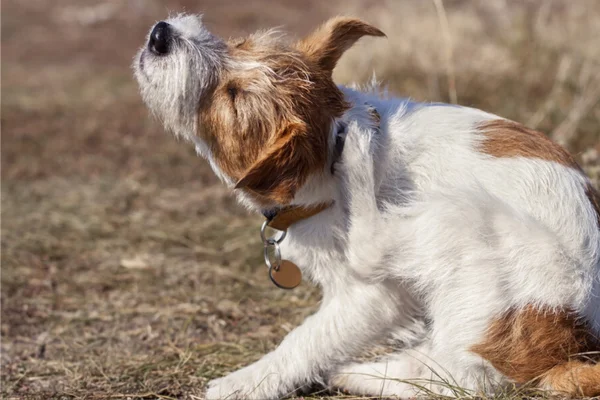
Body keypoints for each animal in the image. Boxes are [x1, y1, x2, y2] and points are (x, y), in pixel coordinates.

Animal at [132, 14, 600, 398]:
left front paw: (245, 382)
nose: (160, 35)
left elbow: (306, 339)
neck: (326, 151)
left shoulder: (370, 298)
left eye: (231, 96)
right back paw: (357, 373)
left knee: (456, 371)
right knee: (438, 373)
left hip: (462, 216)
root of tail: (570, 348)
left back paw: (358, 153)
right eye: (241, 44)